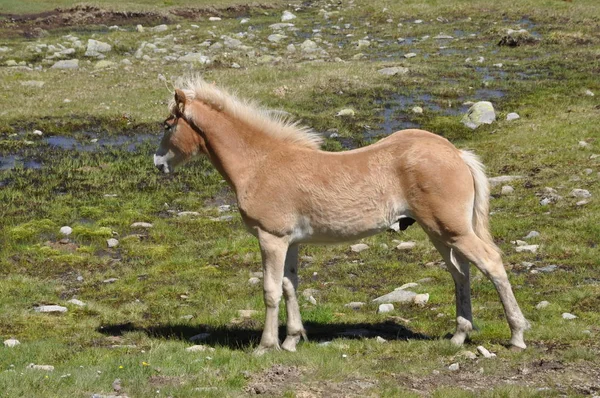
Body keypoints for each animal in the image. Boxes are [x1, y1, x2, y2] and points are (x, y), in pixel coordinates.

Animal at [152, 77, 528, 354]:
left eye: (168, 124)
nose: (158, 164)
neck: (260, 164)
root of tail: (456, 153)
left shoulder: (271, 238)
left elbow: (271, 290)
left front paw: (266, 346)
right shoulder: (291, 242)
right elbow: (290, 286)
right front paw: (292, 340)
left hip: (451, 229)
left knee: (491, 263)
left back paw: (517, 336)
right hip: (439, 232)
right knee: (460, 272)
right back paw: (459, 335)